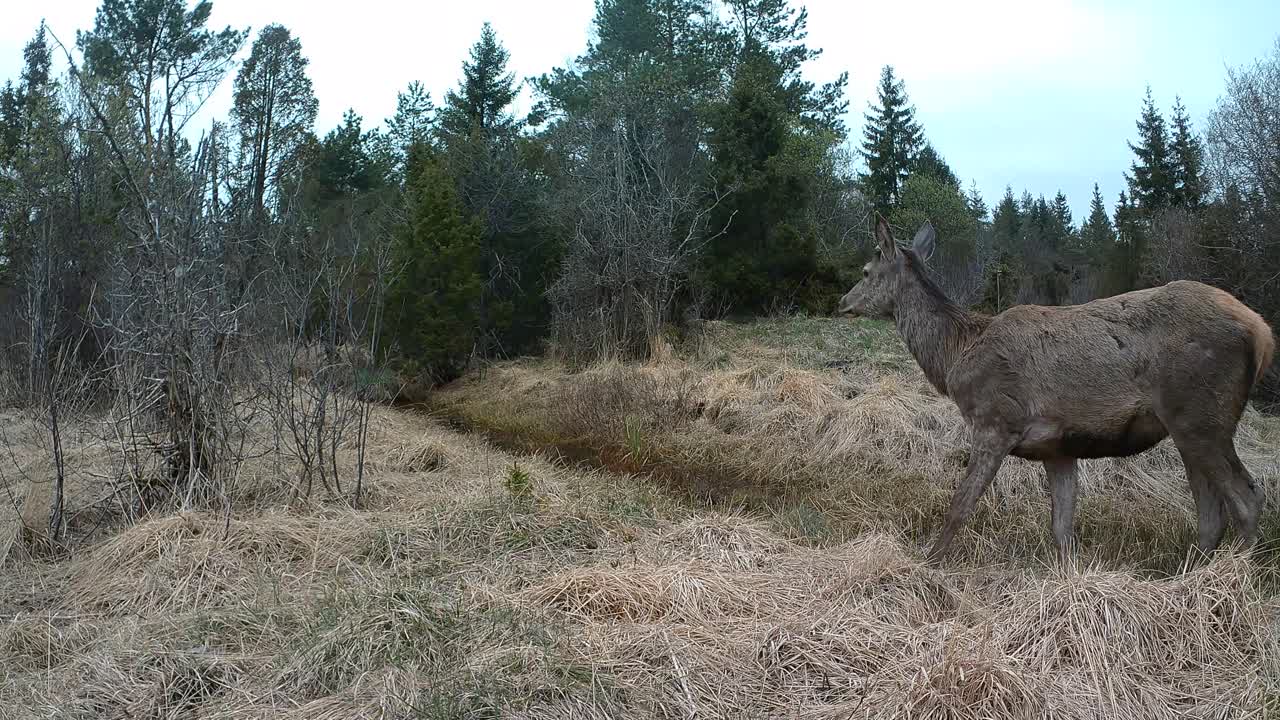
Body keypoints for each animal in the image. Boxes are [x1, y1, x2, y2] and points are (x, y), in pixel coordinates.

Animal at [837, 217, 1275, 564]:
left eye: (865, 270)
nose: (842, 302)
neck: (955, 356)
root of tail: (1262, 332)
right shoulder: (1057, 446)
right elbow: (1062, 529)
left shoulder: (996, 420)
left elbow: (960, 505)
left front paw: (927, 564)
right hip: (1188, 426)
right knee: (1211, 512)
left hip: (1201, 414)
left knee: (1246, 500)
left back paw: (1229, 581)